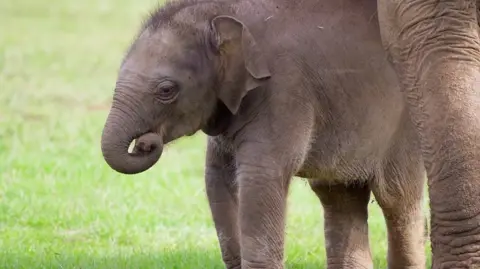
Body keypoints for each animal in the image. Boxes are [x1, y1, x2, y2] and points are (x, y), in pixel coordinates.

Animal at [101, 0, 428, 268]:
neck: (223, 12)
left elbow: (261, 176)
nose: (145, 143)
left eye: (166, 90)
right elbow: (217, 176)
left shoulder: (283, 91)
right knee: (339, 195)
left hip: (404, 127)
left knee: (397, 198)